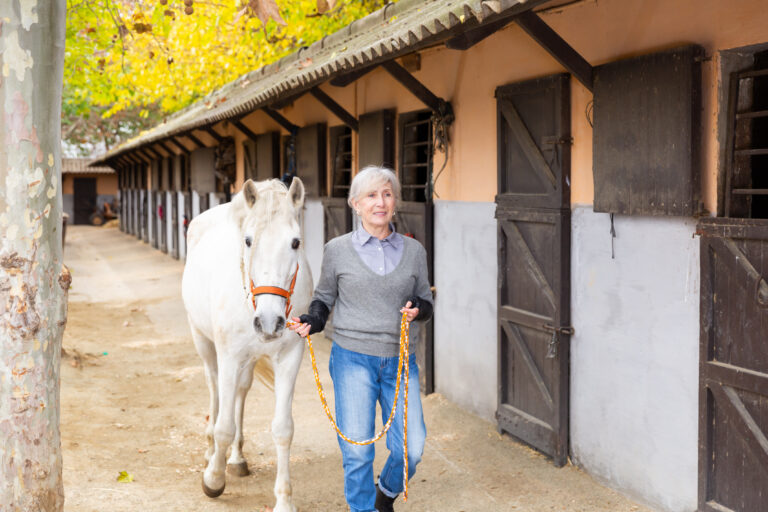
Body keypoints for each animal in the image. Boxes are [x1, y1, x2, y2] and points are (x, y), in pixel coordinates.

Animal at [181, 177, 312, 512]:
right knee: (215, 389)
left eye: (296, 242)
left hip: (248, 360)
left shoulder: (289, 357)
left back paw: (237, 458)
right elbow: (224, 425)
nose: (269, 322)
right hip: (203, 342)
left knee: (240, 392)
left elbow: (283, 429)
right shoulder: (228, 355)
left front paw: (284, 500)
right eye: (249, 241)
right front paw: (213, 480)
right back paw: (210, 451)